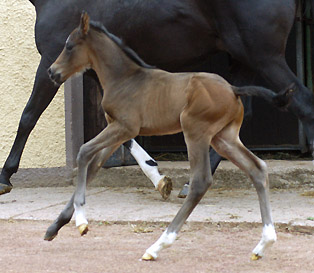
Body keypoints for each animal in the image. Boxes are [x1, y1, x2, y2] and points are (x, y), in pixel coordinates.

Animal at [0, 0, 314, 193]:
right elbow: (123, 134)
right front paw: (158, 178)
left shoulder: (51, 62)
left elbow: (28, 116)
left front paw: (5, 176)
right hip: (244, 61)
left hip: (265, 58)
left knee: (304, 103)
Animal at [47, 12, 278, 260]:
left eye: (69, 46)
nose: (52, 72)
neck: (124, 79)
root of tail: (234, 89)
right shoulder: (116, 131)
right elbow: (92, 167)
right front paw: (54, 227)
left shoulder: (125, 128)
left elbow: (83, 152)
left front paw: (81, 221)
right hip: (223, 138)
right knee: (258, 168)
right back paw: (264, 243)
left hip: (195, 131)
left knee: (200, 182)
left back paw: (157, 246)